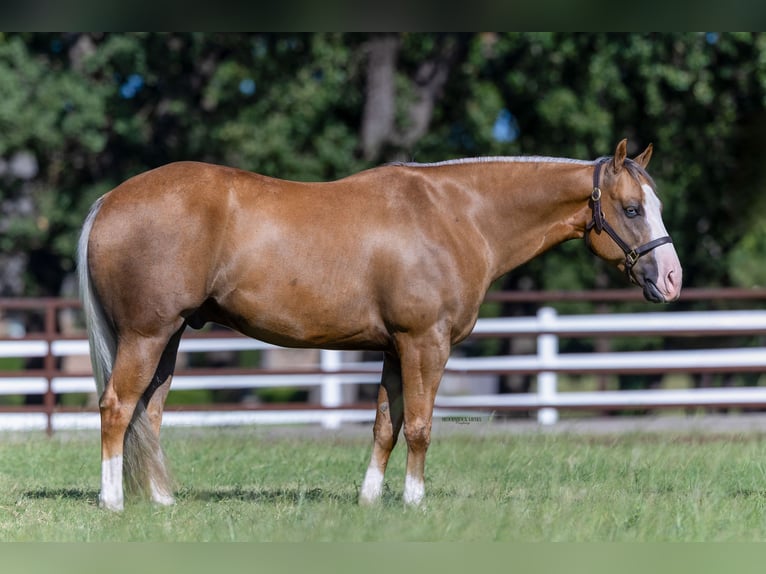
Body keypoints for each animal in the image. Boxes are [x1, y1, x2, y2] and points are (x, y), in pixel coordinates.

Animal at [77, 138, 682, 511]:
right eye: (632, 209)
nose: (672, 279)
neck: (455, 216)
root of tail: (109, 200)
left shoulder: (396, 349)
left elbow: (384, 426)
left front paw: (370, 501)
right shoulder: (425, 344)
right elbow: (418, 426)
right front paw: (415, 501)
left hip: (170, 337)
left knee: (150, 413)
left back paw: (161, 501)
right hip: (147, 334)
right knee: (117, 407)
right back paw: (112, 502)